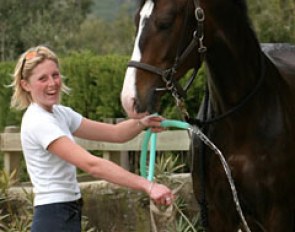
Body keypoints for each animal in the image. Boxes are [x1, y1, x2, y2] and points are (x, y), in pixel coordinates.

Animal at [120, 0, 295, 231]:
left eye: (165, 22)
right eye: (137, 20)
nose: (129, 99)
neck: (241, 121)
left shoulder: (279, 215)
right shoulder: (216, 214)